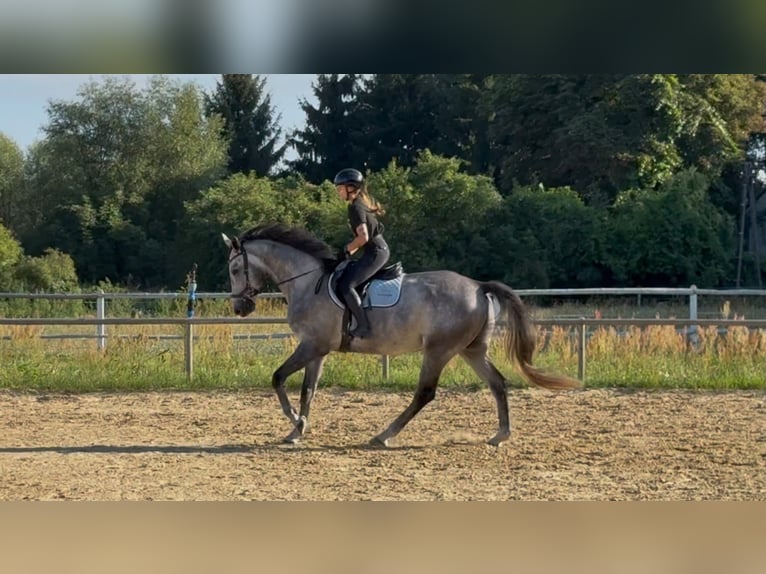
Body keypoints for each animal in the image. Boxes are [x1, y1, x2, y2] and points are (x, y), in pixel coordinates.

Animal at [222, 222, 581, 447]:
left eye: (235, 269)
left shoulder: (312, 345)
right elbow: (308, 390)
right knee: (497, 383)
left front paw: (295, 422)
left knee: (425, 393)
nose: (240, 307)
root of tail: (479, 286)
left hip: (438, 351)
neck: (306, 281)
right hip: (472, 350)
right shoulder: (318, 350)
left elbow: (278, 378)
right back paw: (500, 435)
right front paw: (298, 429)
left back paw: (384, 435)